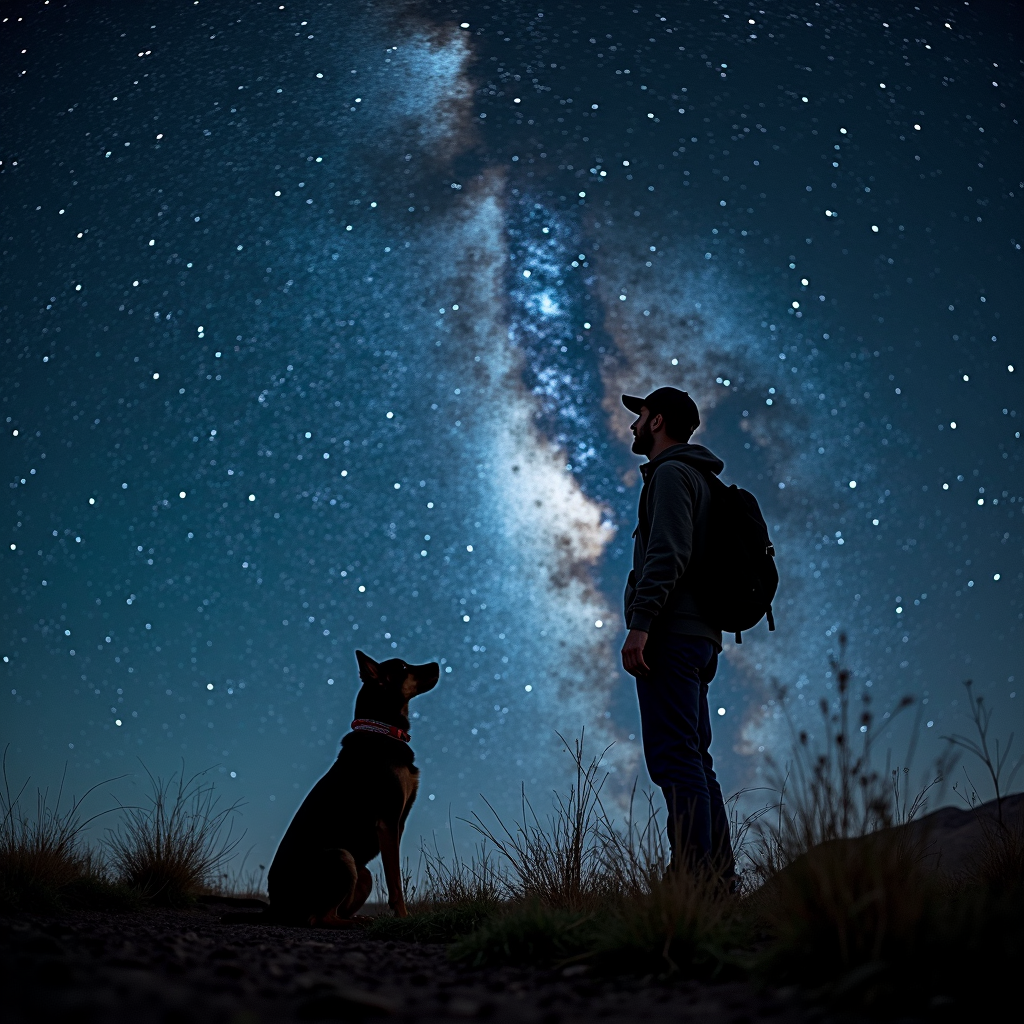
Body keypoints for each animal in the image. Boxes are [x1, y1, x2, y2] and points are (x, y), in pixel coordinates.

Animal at [264, 651, 436, 925]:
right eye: (404, 667)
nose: (438, 665)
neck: (382, 729)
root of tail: (275, 907)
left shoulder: (397, 823)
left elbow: (394, 874)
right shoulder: (388, 822)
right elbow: (395, 882)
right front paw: (403, 916)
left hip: (362, 872)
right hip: (341, 857)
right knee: (320, 919)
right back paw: (359, 921)